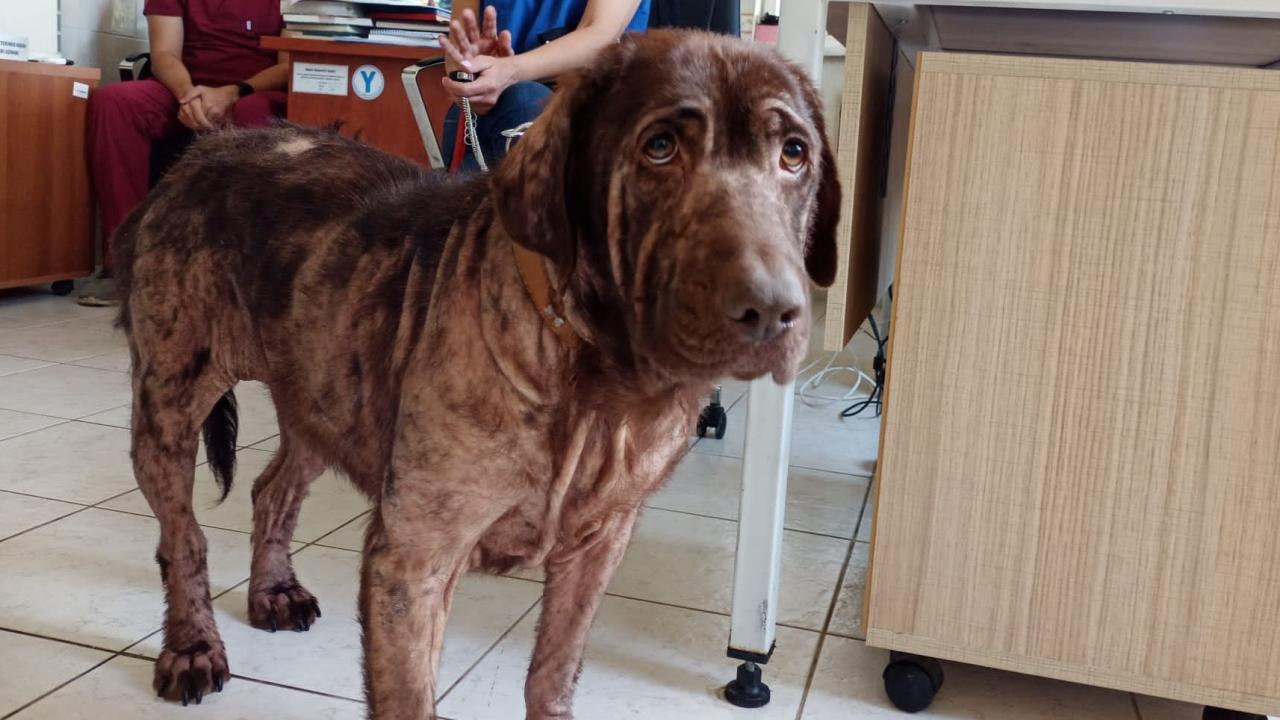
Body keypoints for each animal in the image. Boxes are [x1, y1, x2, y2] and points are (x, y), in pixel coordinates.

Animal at [114, 28, 839, 719]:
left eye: (793, 154)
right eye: (660, 147)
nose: (773, 311)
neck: (598, 389)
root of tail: (204, 149)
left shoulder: (598, 548)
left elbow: (554, 672)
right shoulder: (413, 560)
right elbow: (411, 698)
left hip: (321, 395)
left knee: (272, 490)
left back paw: (272, 590)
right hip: (169, 405)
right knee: (182, 538)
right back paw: (191, 647)